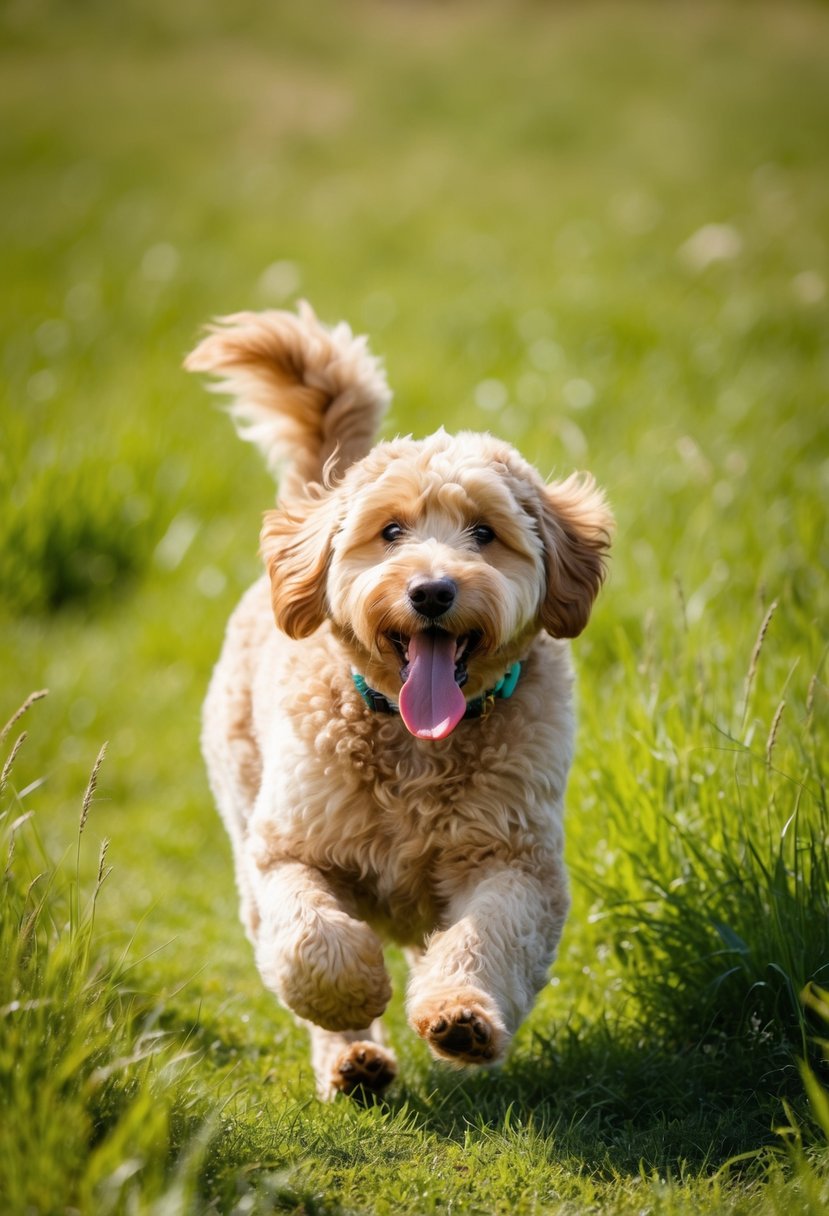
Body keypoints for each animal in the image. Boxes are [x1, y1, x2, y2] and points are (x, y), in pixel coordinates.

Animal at [185, 304, 607, 1104]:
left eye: (484, 533)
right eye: (390, 532)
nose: (432, 591)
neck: (416, 744)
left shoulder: (515, 861)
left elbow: (484, 937)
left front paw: (462, 1016)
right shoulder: (286, 848)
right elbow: (312, 938)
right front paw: (351, 997)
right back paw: (353, 1060)